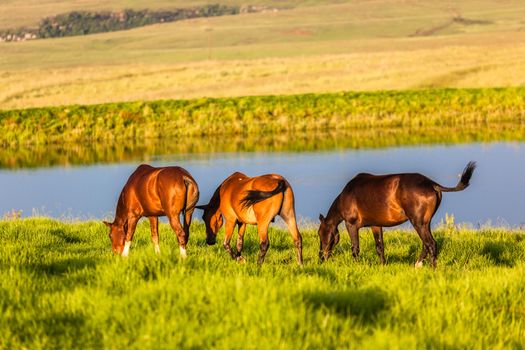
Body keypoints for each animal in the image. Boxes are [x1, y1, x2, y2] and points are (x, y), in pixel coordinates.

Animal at [316, 162, 474, 268]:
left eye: (319, 233)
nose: (321, 258)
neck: (347, 195)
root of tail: (432, 184)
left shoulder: (351, 224)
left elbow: (355, 248)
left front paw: (356, 266)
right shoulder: (375, 225)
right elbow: (380, 247)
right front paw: (382, 265)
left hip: (418, 223)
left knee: (431, 244)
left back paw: (431, 268)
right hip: (424, 223)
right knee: (426, 244)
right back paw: (418, 264)